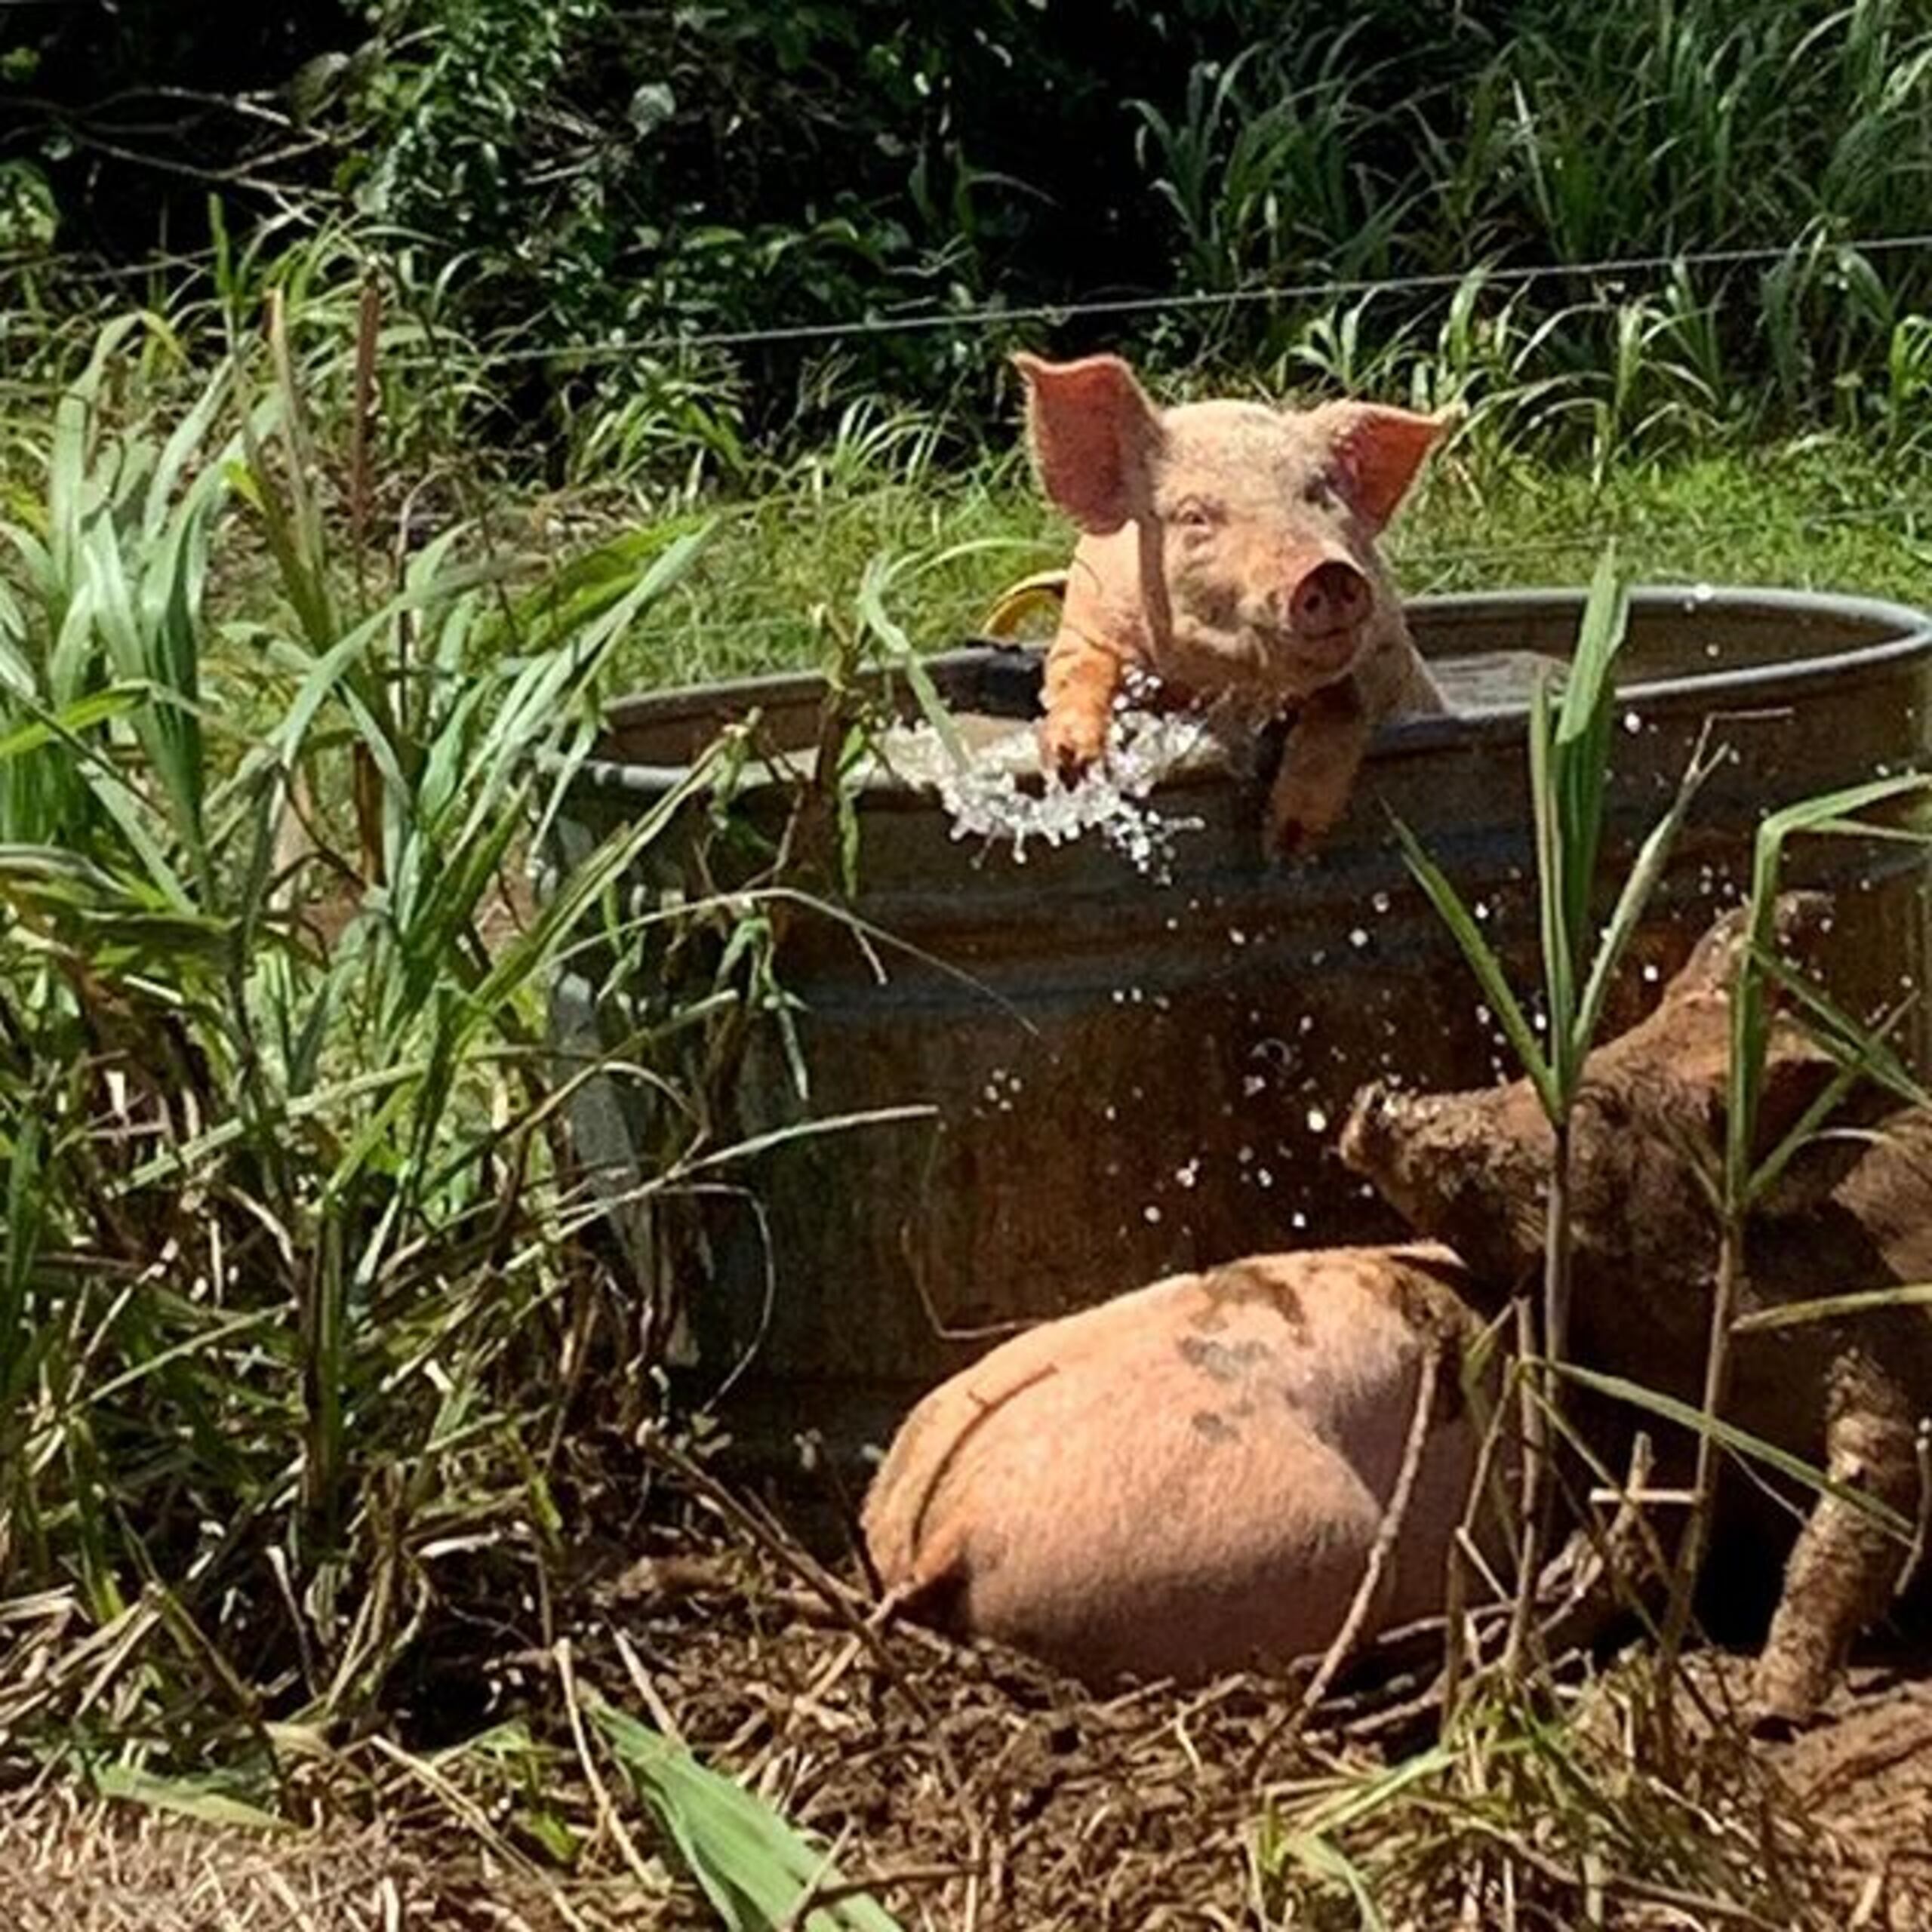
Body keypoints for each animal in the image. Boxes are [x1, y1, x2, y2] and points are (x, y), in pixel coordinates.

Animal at [1012, 349, 1453, 861]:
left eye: (1320, 495)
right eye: (1193, 516)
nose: (1326, 571)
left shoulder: (1385, 649)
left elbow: (1346, 703)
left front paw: (1285, 847)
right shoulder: (1087, 619)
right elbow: (1076, 669)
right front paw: (1073, 765)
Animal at [1344, 896, 1932, 1730]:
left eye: (1601, 1105)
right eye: (1595, 1051)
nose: (1373, 1100)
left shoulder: (1872, 1379)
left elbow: (1853, 1517)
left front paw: (1768, 1710)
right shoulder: (1671, 1432)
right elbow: (1614, 1550)